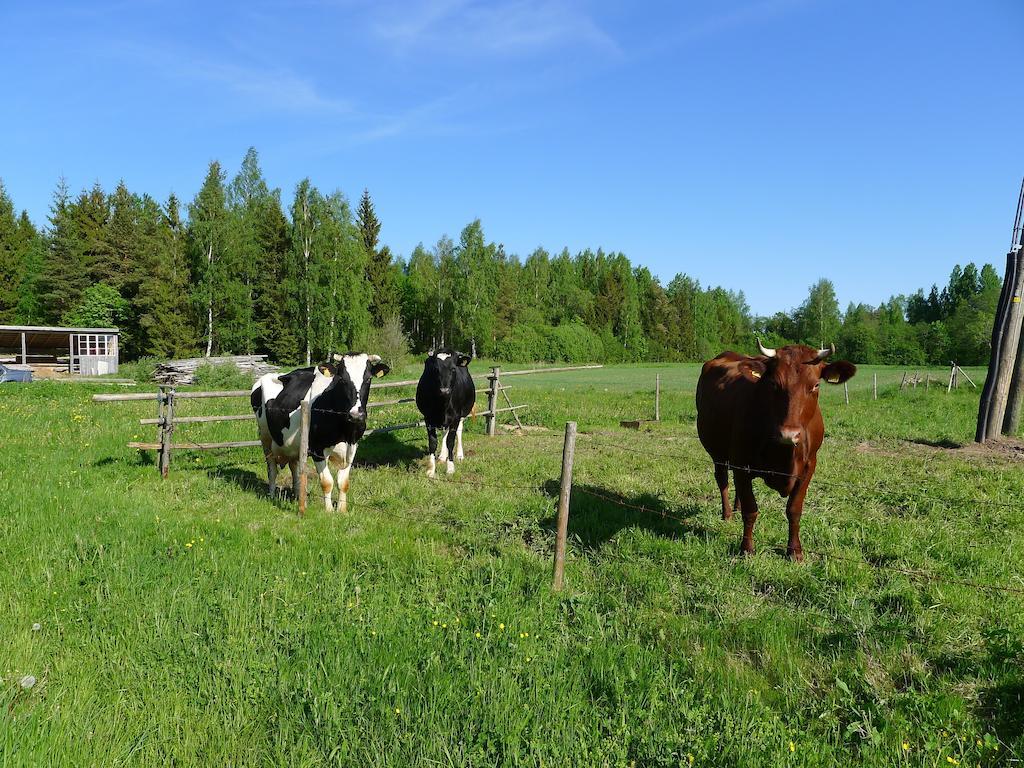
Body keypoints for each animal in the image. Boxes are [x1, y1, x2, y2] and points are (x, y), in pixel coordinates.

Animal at [249, 354, 389, 512]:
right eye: (342, 379)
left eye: (369, 378)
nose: (356, 415)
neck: (345, 430)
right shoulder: (318, 449)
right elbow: (327, 482)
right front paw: (328, 511)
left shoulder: (353, 447)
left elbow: (343, 482)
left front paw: (342, 510)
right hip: (265, 437)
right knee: (272, 468)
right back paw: (272, 495)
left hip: (292, 445)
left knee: (294, 466)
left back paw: (297, 495)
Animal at [696, 339, 856, 561]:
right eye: (773, 384)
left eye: (815, 385)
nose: (789, 434)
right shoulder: (741, 463)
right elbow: (751, 510)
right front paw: (747, 548)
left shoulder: (809, 466)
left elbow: (794, 509)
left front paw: (795, 551)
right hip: (717, 452)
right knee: (723, 481)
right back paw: (727, 514)